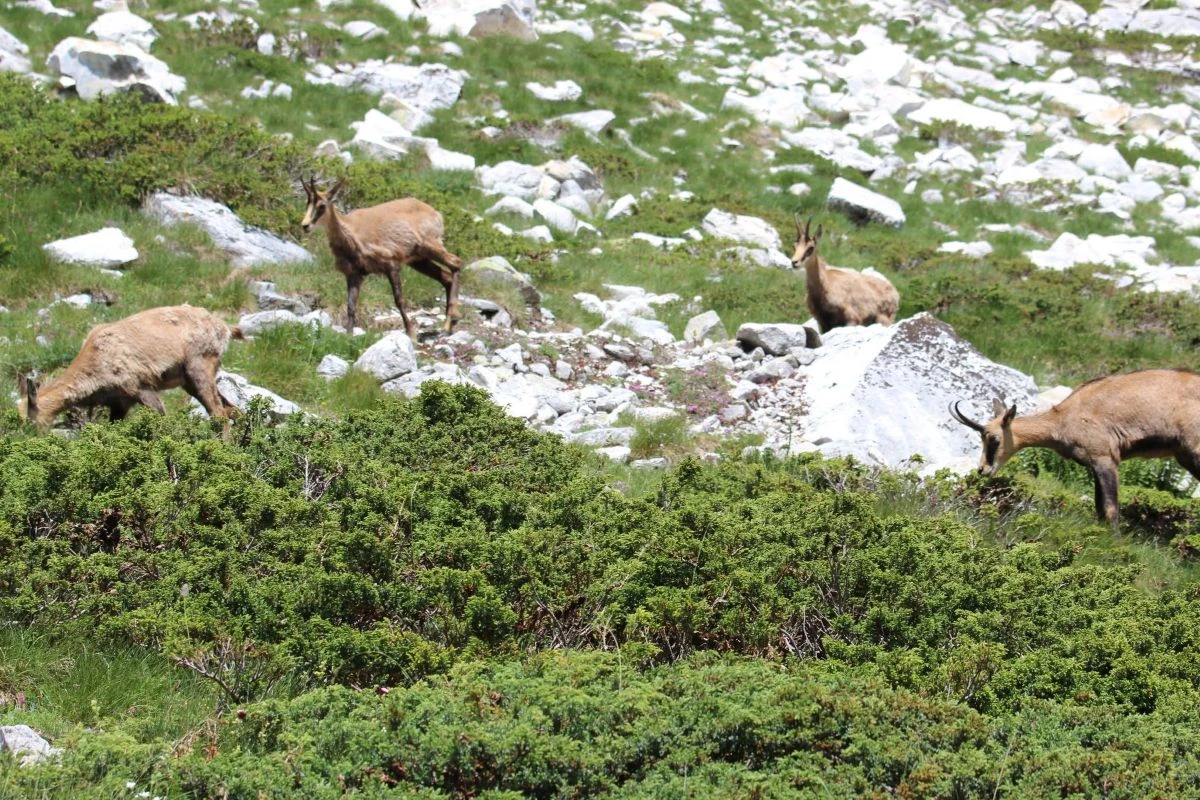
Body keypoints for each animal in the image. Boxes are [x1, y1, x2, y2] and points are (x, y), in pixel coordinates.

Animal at [17, 304, 242, 429]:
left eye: (31, 422)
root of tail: (224, 328)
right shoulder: (119, 403)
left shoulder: (141, 389)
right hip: (189, 382)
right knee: (233, 410)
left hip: (199, 368)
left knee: (219, 413)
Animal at [300, 177, 463, 340]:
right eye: (307, 203)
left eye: (322, 205)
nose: (305, 225)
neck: (352, 231)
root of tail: (435, 213)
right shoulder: (354, 274)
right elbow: (351, 306)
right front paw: (348, 337)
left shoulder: (391, 265)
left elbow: (399, 300)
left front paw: (411, 334)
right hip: (419, 261)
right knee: (447, 277)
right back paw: (450, 324)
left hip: (430, 246)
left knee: (456, 262)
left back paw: (450, 321)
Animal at [950, 369, 1200, 527]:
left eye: (993, 438)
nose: (982, 469)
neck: (1063, 419)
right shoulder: (1095, 466)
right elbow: (1100, 509)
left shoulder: (1106, 459)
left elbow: (1110, 509)